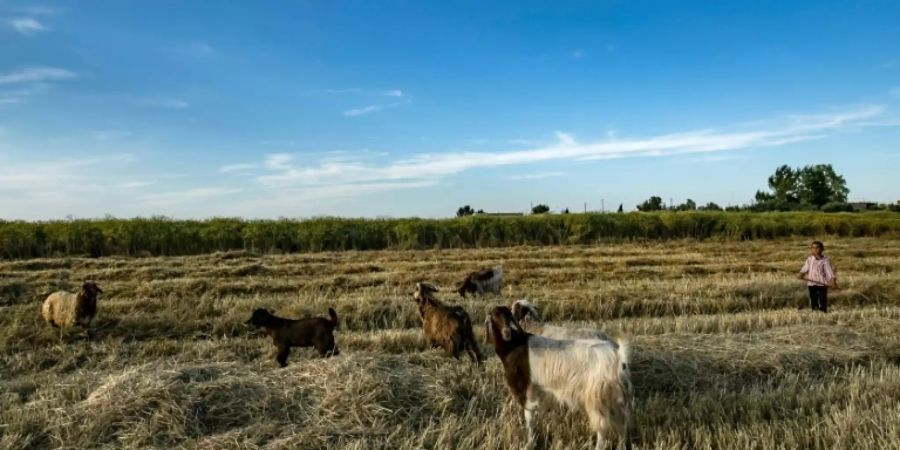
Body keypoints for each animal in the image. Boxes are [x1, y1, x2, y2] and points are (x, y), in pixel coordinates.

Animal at [486, 304, 632, 448]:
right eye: (495, 317)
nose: (506, 332)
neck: (514, 345)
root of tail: (618, 356)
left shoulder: (523, 387)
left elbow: (528, 415)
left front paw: (530, 441)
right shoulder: (536, 388)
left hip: (597, 398)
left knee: (603, 429)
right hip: (614, 397)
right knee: (622, 423)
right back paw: (621, 445)